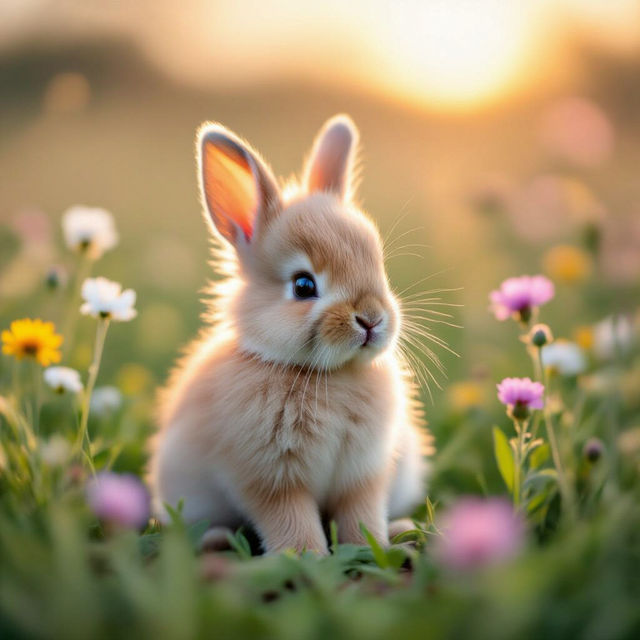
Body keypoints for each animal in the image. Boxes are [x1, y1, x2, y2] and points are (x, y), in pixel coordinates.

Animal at [149, 115, 433, 554]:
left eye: (377, 265)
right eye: (303, 285)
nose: (371, 318)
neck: (329, 376)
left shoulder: (363, 477)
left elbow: (362, 515)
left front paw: (372, 549)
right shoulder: (270, 480)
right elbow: (291, 521)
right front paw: (308, 557)